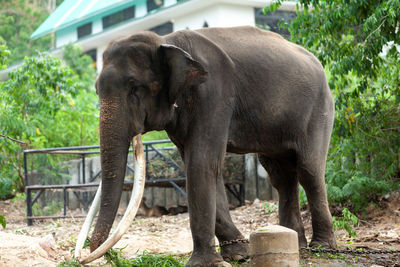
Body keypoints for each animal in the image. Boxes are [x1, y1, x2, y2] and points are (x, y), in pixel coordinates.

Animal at [85, 26, 338, 266]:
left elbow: (201, 163)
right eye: (96, 90)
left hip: (320, 109)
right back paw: (298, 244)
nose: (90, 252)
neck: (166, 40)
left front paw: (206, 263)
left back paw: (323, 247)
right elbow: (204, 166)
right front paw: (238, 254)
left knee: (309, 170)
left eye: (135, 87)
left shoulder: (214, 93)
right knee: (281, 176)